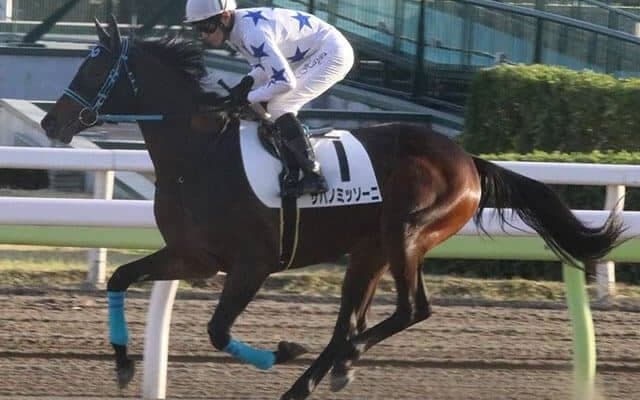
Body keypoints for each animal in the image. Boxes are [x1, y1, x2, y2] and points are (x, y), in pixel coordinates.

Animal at [40, 17, 624, 400]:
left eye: (92, 70)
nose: (51, 122)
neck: (201, 154)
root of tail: (466, 158)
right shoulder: (193, 257)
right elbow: (120, 277)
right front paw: (121, 364)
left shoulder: (251, 264)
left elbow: (218, 331)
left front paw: (283, 352)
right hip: (369, 251)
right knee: (351, 323)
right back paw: (320, 375)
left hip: (407, 233)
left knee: (410, 311)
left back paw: (327, 367)